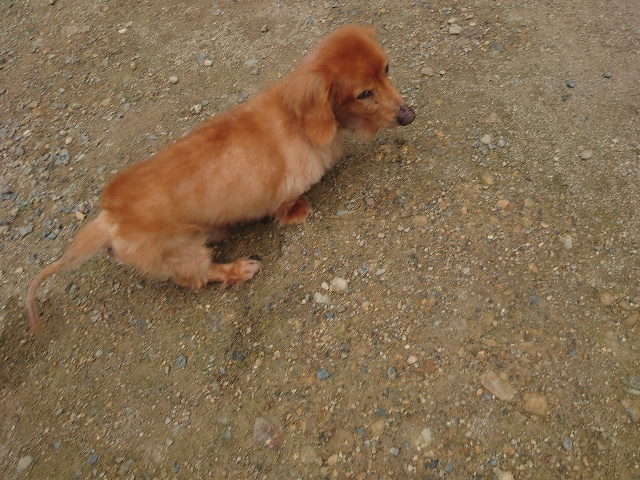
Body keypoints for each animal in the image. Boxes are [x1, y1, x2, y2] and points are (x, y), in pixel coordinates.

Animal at [26, 24, 416, 330]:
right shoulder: (285, 190)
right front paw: (298, 212)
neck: (299, 119)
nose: (409, 115)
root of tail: (109, 219)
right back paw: (238, 269)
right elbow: (286, 207)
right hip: (183, 253)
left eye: (387, 69)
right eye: (363, 93)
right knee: (200, 277)